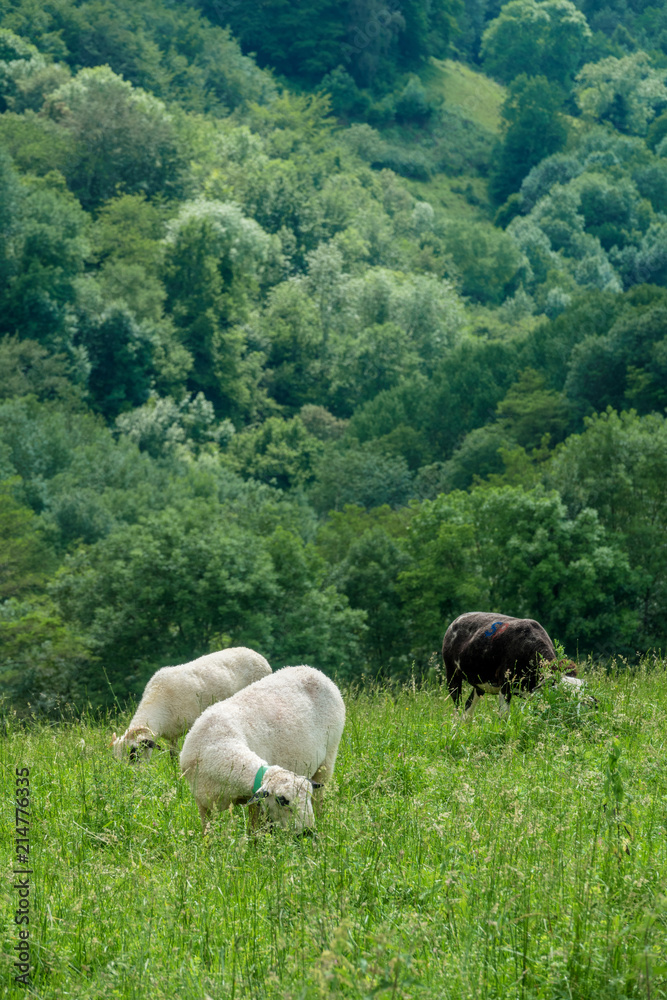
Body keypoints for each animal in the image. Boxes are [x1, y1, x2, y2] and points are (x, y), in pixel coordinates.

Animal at [179, 665, 346, 835]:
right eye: (282, 800)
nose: (308, 832)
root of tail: (313, 670)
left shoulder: (255, 802)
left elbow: (254, 832)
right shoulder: (203, 804)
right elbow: (207, 833)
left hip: (327, 760)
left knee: (319, 800)